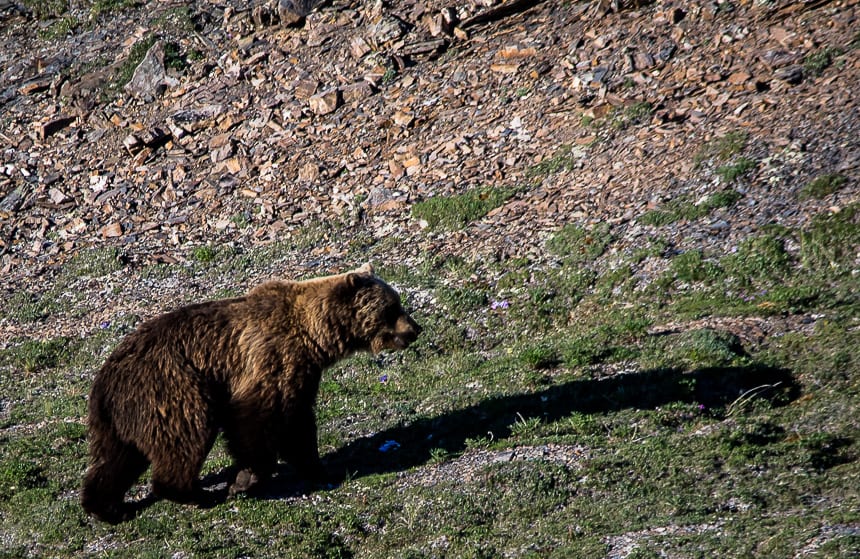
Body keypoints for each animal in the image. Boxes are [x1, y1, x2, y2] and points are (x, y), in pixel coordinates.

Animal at [79, 264, 422, 524]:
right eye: (392, 307)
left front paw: (317, 467)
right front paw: (246, 480)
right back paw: (193, 493)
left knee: (116, 458)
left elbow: (298, 423)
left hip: (119, 417)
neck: (315, 336)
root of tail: (105, 381)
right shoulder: (270, 358)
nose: (415, 328)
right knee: (186, 434)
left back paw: (107, 507)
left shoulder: (303, 373)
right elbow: (257, 418)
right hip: (171, 386)